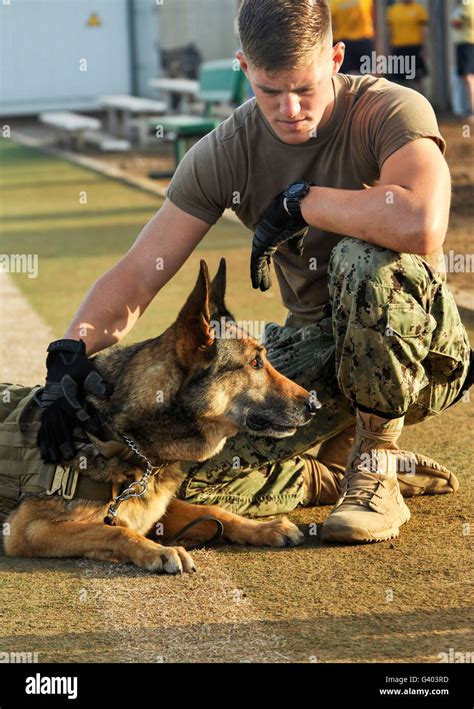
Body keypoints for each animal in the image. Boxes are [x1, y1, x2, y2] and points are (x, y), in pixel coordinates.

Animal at [4, 258, 314, 568]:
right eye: (255, 363)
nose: (315, 405)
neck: (120, 436)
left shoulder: (161, 506)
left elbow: (215, 512)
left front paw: (265, 528)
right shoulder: (28, 529)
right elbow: (115, 531)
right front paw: (158, 551)